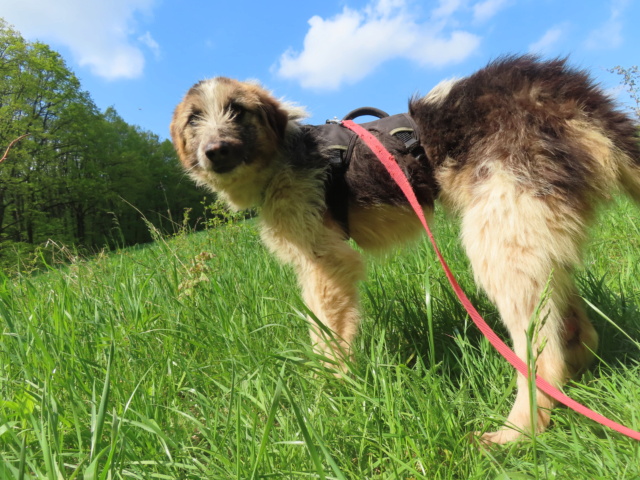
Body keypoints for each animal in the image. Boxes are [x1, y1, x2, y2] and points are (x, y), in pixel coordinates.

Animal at [170, 55, 640, 442]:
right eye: (194, 118)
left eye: (238, 110)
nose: (216, 150)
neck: (287, 154)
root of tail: (566, 92)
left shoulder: (327, 264)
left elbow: (326, 336)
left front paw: (330, 391)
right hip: (534, 234)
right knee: (575, 328)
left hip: (502, 239)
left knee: (543, 356)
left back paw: (516, 431)